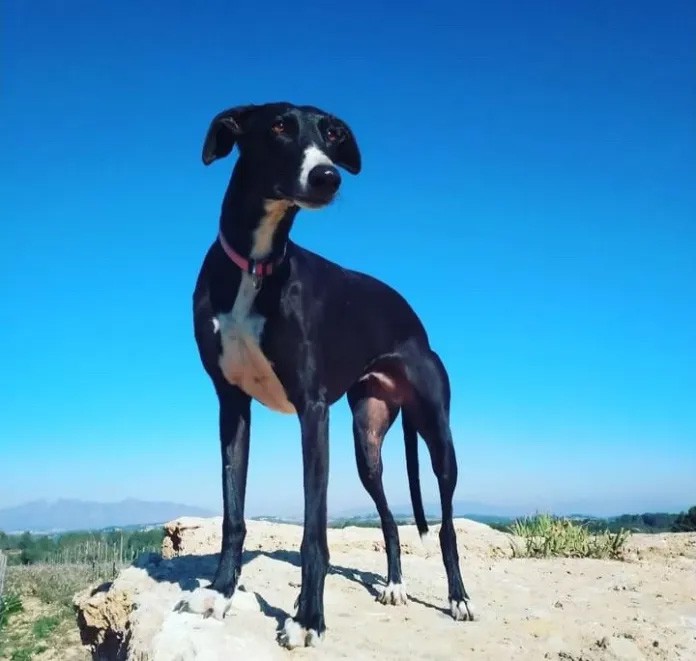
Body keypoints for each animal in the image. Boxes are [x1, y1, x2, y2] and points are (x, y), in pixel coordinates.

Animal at [190, 102, 474, 644]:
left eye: (332, 135)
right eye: (279, 125)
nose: (327, 176)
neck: (257, 265)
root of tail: (414, 320)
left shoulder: (312, 411)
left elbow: (314, 534)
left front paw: (307, 619)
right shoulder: (231, 405)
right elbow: (233, 515)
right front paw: (220, 593)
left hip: (438, 437)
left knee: (446, 523)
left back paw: (458, 598)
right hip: (368, 446)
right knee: (388, 518)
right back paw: (395, 585)